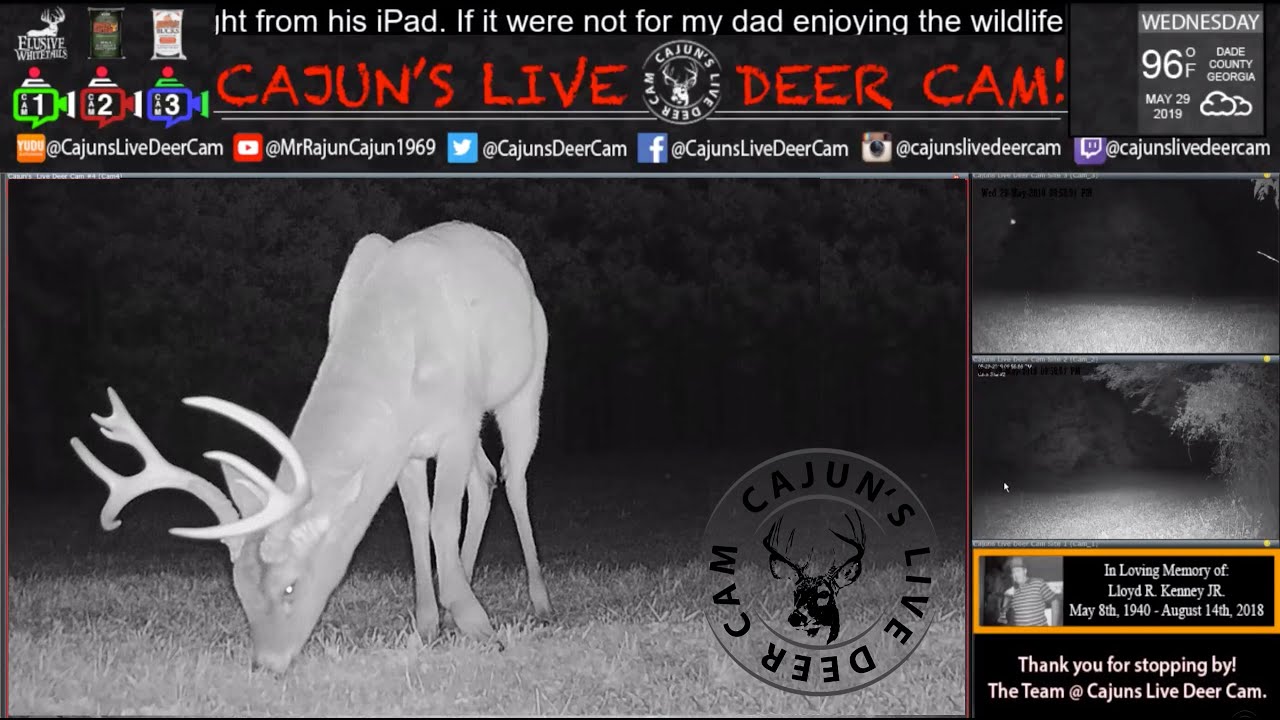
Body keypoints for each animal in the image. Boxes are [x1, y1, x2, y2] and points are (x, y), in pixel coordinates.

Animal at [70, 221, 552, 674]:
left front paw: (477, 623)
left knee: (513, 477)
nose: (265, 663)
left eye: (290, 586)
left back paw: (541, 603)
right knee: (484, 477)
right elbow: (418, 521)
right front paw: (429, 623)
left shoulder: (457, 419)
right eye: (240, 590)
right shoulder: (404, 445)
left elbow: (441, 521)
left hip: (524, 386)